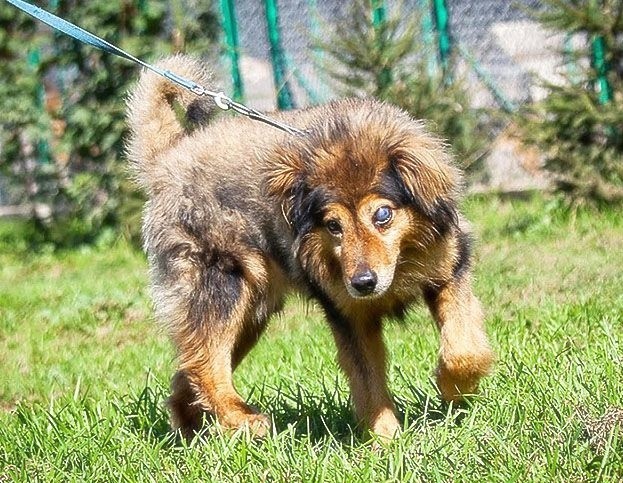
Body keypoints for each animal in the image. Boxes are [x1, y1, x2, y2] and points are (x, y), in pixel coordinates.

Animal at [127, 54, 494, 440]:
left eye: (382, 215)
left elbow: (465, 349)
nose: (363, 283)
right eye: (333, 226)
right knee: (203, 365)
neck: (400, 262)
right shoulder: (347, 312)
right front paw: (388, 441)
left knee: (188, 371)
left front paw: (453, 389)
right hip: (220, 284)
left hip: (251, 314)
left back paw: (193, 435)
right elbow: (368, 383)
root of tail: (166, 161)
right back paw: (243, 421)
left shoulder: (450, 270)